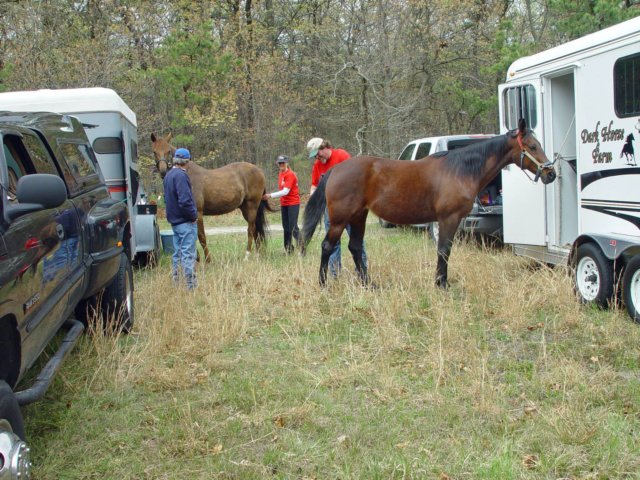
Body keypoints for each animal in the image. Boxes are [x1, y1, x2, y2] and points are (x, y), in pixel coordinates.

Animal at [302, 119, 556, 288]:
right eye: (532, 147)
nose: (551, 174)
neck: (460, 170)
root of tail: (336, 170)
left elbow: (444, 250)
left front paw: (440, 282)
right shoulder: (448, 219)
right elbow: (444, 250)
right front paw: (441, 284)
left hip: (358, 217)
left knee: (355, 247)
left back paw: (369, 284)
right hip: (340, 220)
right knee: (327, 246)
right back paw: (323, 283)